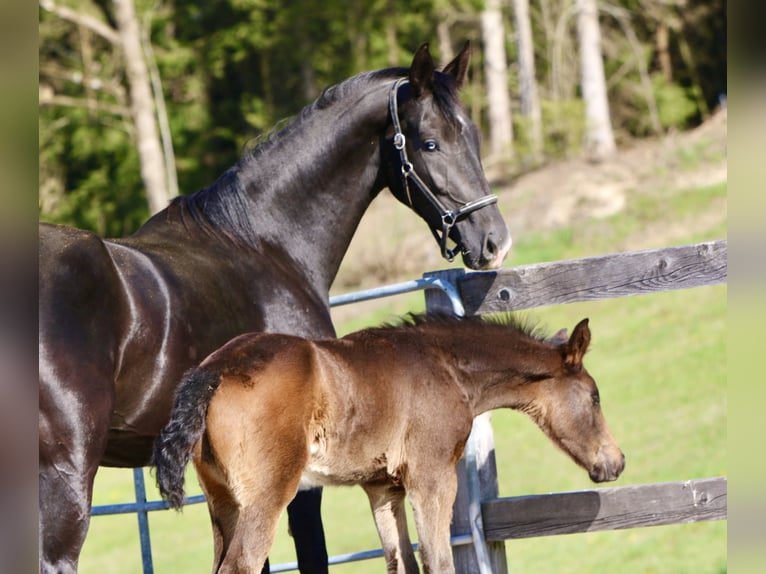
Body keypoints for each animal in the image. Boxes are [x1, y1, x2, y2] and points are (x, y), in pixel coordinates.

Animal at [38, 42, 512, 573]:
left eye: (472, 135)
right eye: (429, 144)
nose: (494, 241)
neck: (263, 244)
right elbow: (310, 550)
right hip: (67, 474)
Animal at [153, 314, 625, 573]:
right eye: (595, 396)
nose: (616, 462)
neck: (446, 366)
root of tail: (212, 372)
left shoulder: (382, 487)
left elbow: (401, 561)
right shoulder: (432, 477)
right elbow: (438, 560)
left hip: (223, 503)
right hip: (266, 498)